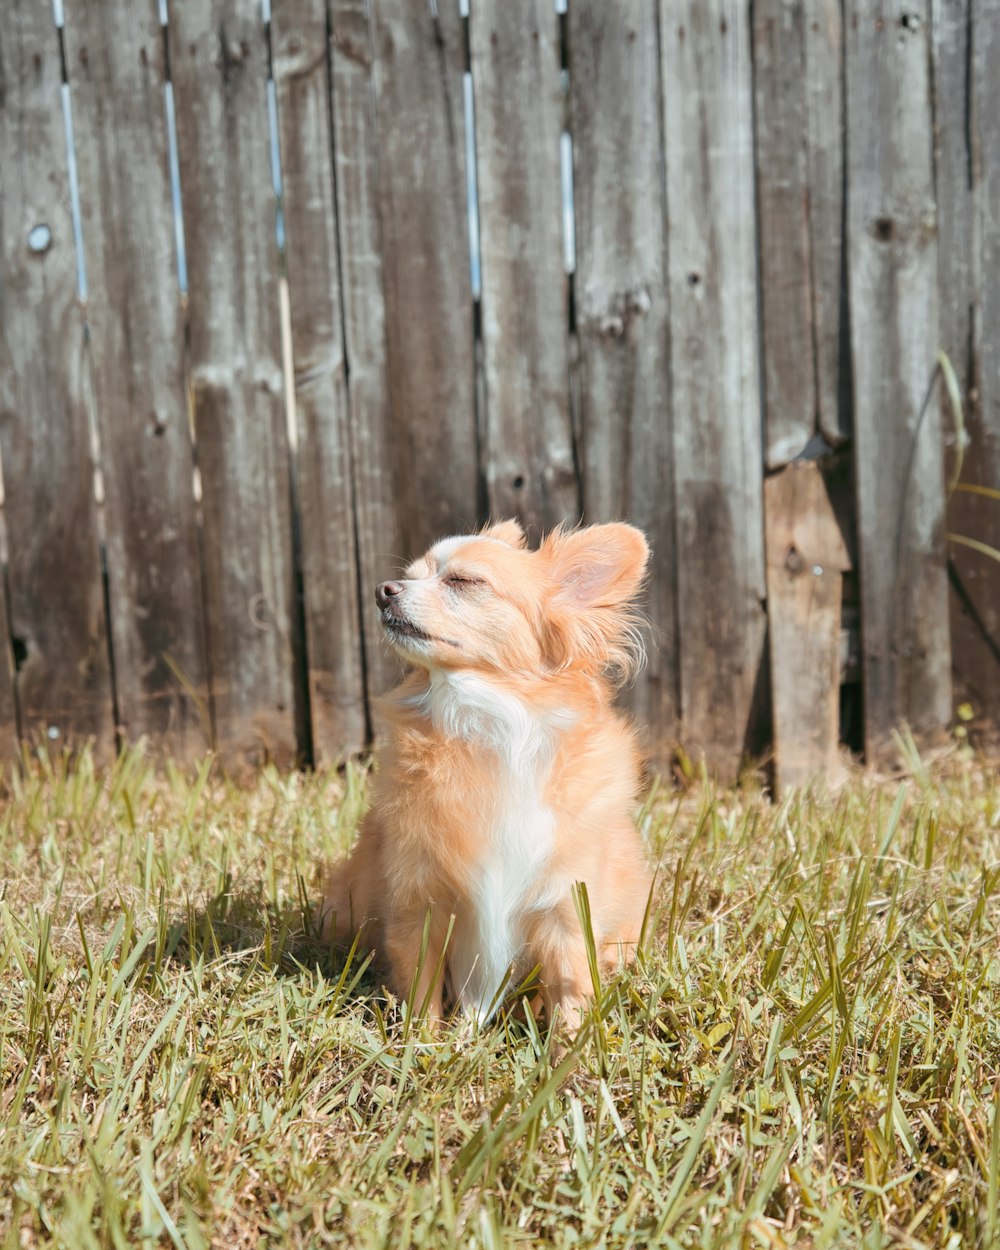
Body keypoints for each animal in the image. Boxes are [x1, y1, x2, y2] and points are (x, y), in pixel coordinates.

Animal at [325, 517, 655, 1025]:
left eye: (464, 581)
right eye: (410, 575)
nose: (384, 590)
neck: (484, 719)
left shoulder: (565, 910)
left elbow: (569, 991)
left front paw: (569, 1047)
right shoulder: (418, 903)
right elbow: (420, 987)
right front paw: (423, 1040)